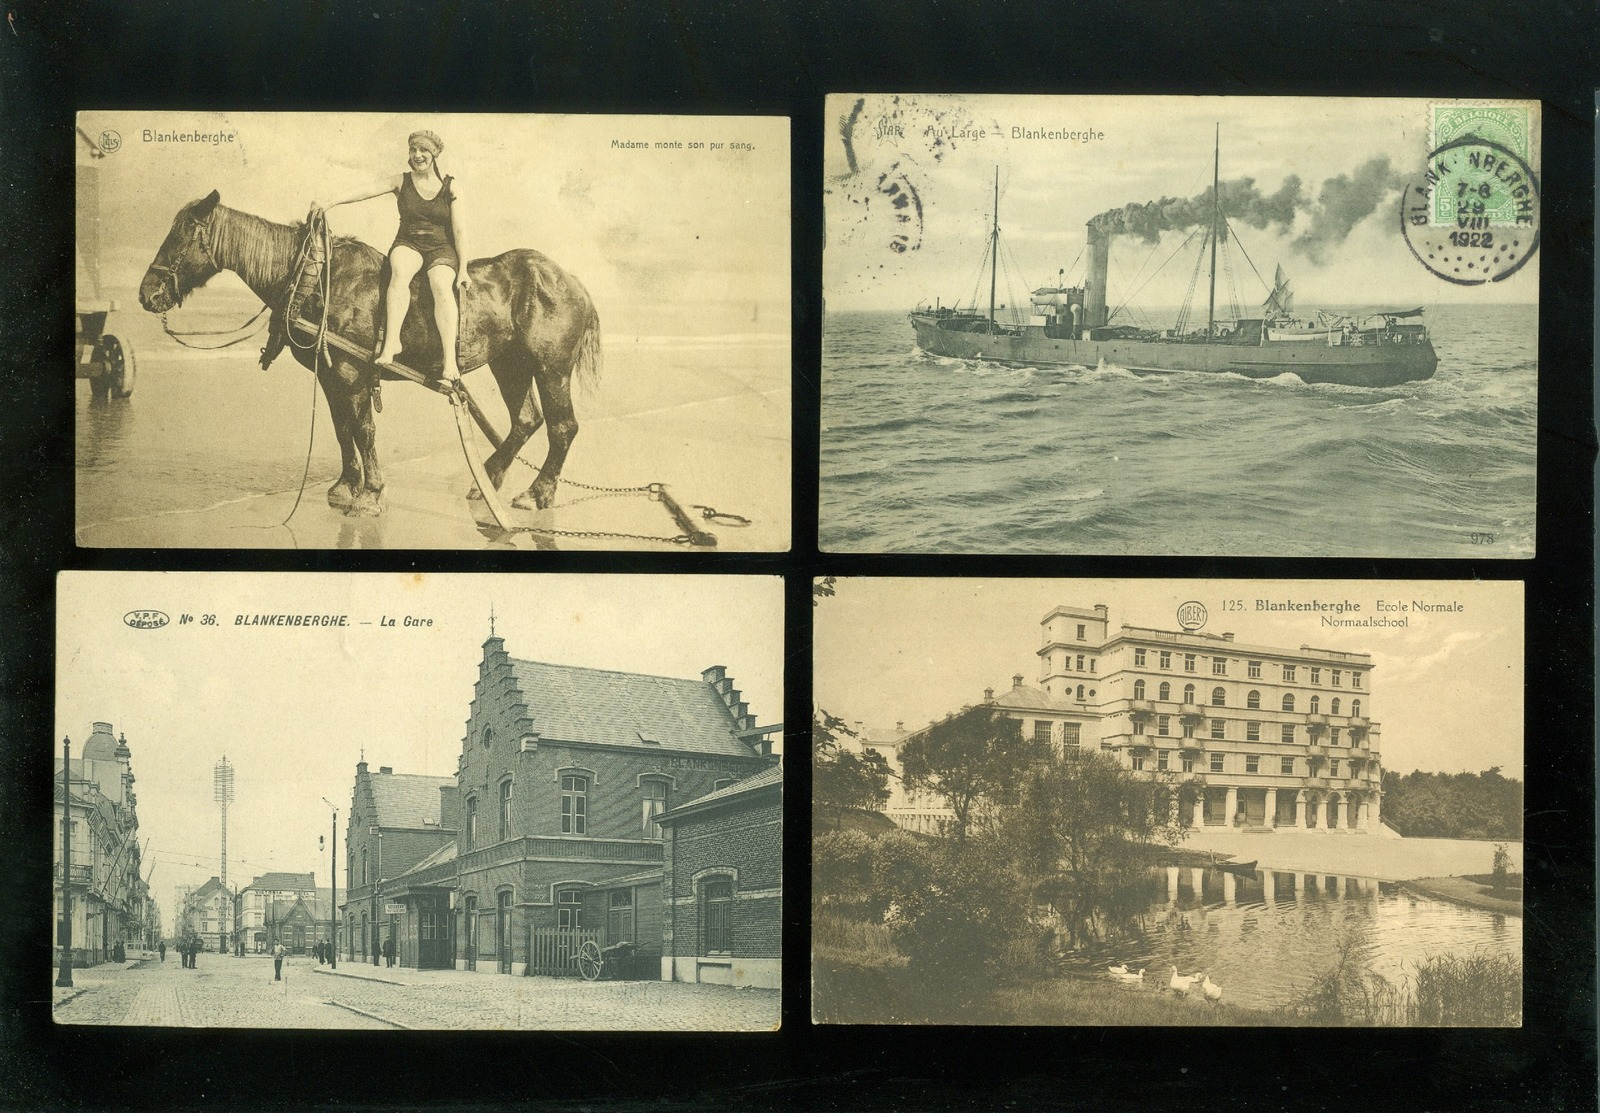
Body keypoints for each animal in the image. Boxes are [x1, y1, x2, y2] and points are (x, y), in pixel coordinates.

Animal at [136, 190, 601, 512]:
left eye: (182, 235)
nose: (147, 293)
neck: (316, 279)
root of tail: (572, 279)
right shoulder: (329, 376)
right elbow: (342, 428)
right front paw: (346, 487)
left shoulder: (350, 371)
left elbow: (363, 429)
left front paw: (372, 494)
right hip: (511, 364)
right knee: (526, 420)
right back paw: (486, 478)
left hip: (551, 367)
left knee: (563, 427)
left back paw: (537, 493)